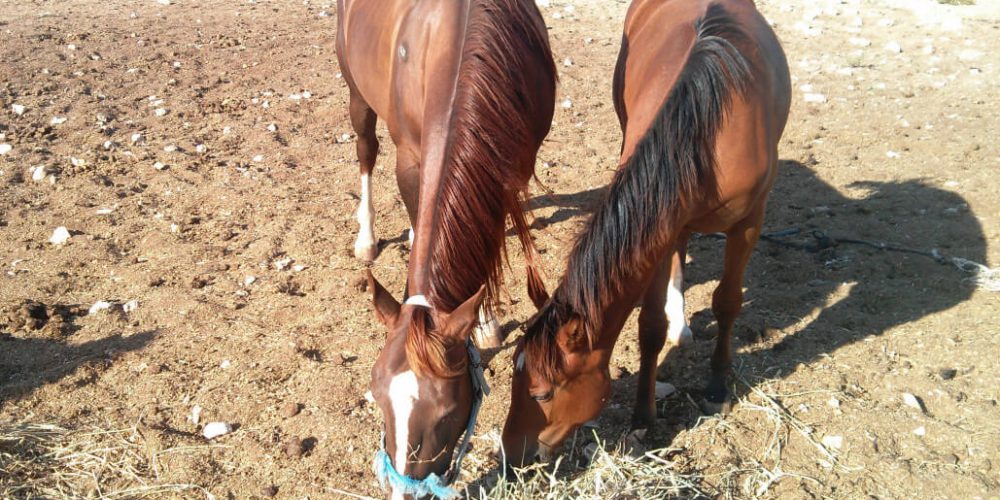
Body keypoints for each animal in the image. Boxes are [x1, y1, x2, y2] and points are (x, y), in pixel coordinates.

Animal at [336, 0, 556, 496]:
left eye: (447, 413)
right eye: (375, 394)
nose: (403, 490)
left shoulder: (510, 161)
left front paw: (486, 321)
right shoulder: (410, 158)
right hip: (357, 92)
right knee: (366, 149)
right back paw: (367, 238)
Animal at [500, 0, 788, 466]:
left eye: (541, 394)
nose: (509, 456)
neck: (709, 130)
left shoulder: (749, 221)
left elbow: (727, 302)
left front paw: (717, 388)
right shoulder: (661, 229)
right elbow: (649, 326)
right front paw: (642, 415)